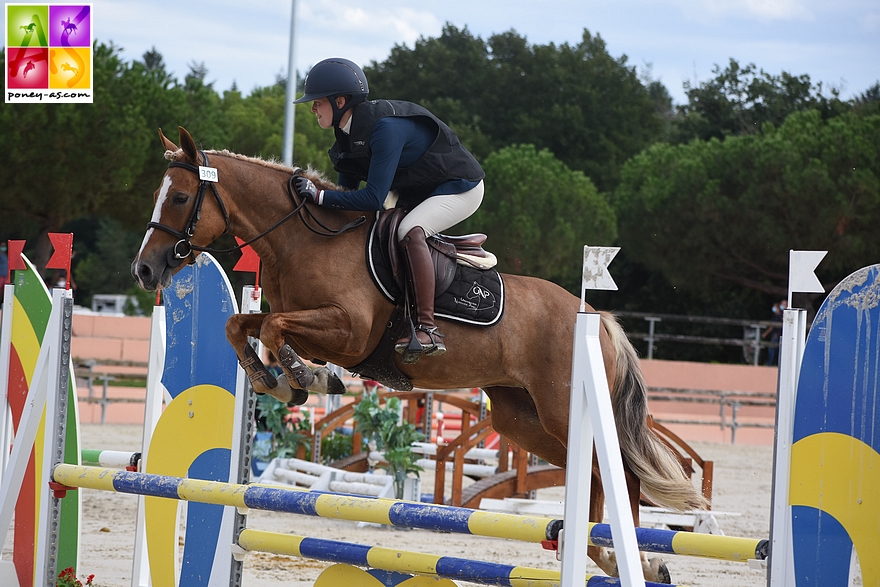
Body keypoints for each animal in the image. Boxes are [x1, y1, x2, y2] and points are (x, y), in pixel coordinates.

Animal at [131, 126, 708, 580]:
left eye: (179, 199)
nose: (145, 270)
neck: (301, 238)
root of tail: (597, 319)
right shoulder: (306, 321)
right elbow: (241, 325)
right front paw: (273, 379)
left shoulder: (350, 331)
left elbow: (275, 329)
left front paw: (304, 377)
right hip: (520, 416)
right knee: (587, 473)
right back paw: (603, 553)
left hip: (564, 407)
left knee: (621, 474)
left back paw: (637, 558)